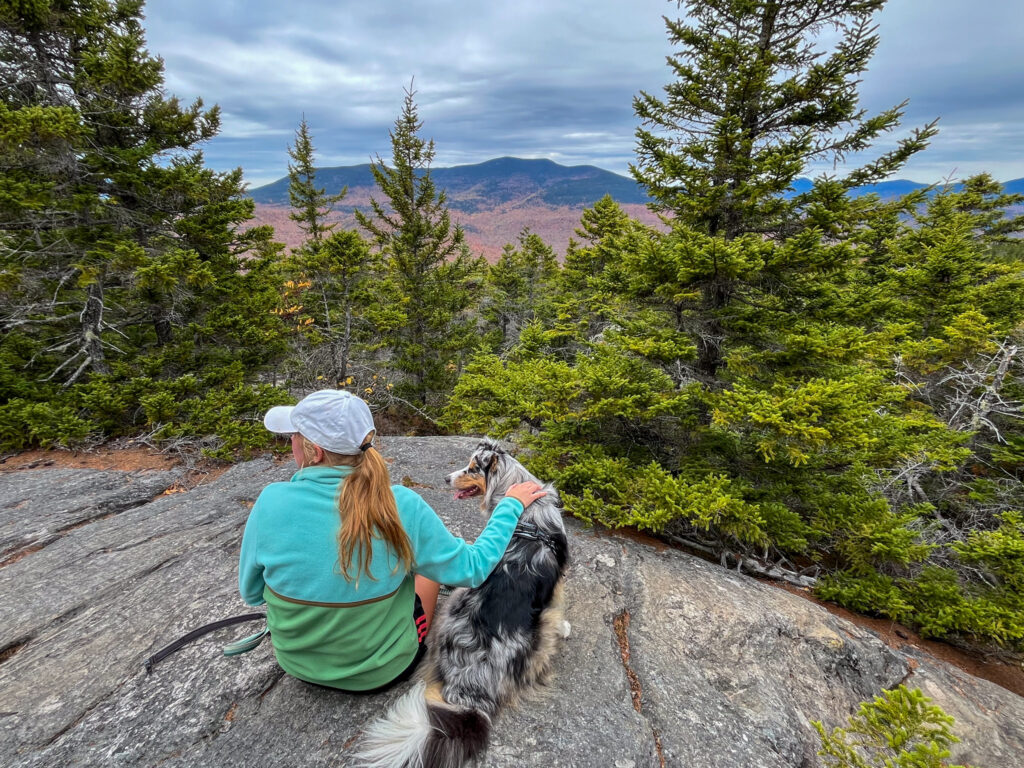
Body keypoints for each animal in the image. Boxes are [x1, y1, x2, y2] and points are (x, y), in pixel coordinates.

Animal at [358, 438, 569, 768]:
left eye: (472, 468)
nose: (445, 479)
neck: (525, 510)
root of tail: (469, 685)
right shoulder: (556, 589)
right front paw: (568, 627)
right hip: (538, 633)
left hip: (452, 607)